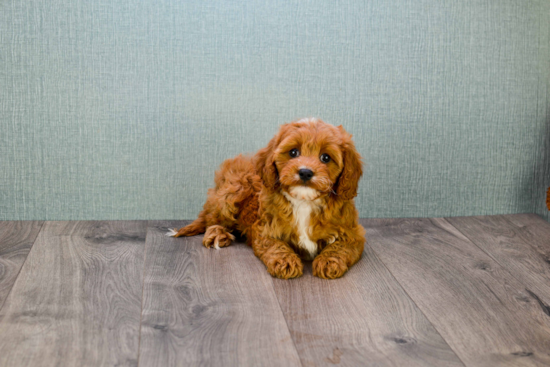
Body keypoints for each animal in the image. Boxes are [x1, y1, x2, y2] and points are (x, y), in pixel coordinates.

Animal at [168, 119, 366, 280]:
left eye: (325, 157)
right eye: (293, 152)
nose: (305, 172)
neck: (304, 201)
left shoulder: (352, 233)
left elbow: (340, 246)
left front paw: (328, 261)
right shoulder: (264, 229)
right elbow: (275, 246)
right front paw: (286, 262)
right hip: (232, 191)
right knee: (212, 220)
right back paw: (217, 234)